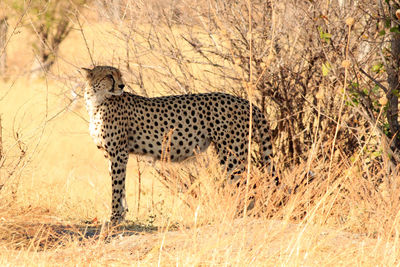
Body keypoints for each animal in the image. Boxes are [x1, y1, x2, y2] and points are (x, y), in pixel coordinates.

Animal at [82, 65, 274, 224]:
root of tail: (244, 101)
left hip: (231, 153)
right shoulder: (112, 154)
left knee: (250, 181)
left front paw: (114, 217)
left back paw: (242, 215)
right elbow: (120, 187)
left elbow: (116, 186)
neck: (97, 102)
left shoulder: (119, 153)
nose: (122, 86)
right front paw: (121, 215)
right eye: (109, 75)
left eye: (119, 75)